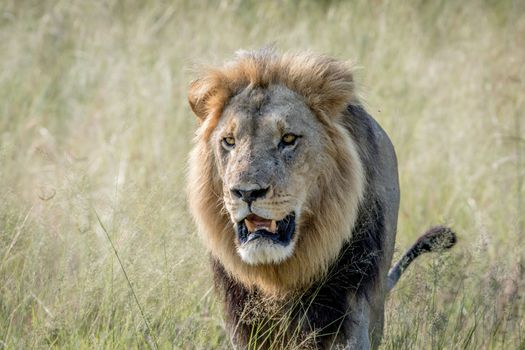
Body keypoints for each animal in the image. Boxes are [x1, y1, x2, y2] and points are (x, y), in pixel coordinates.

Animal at [185, 47, 454, 348]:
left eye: (288, 139)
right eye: (229, 141)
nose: (246, 192)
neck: (278, 276)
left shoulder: (348, 313)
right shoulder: (244, 319)